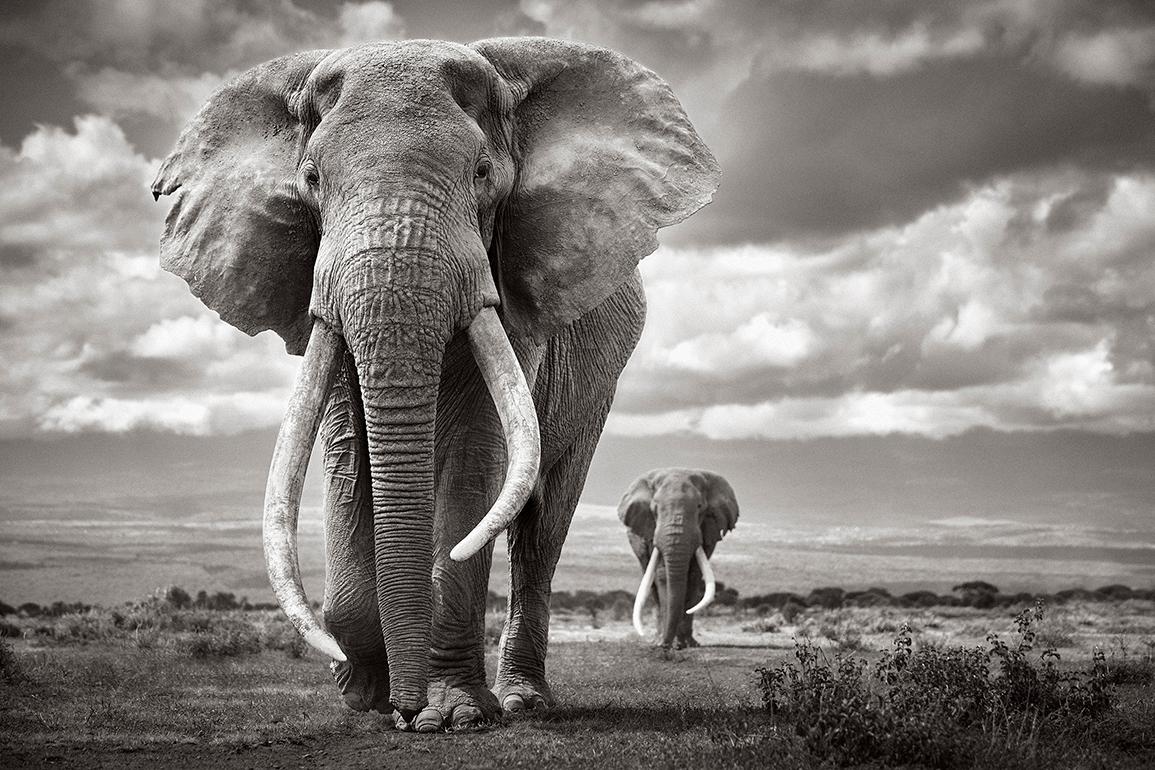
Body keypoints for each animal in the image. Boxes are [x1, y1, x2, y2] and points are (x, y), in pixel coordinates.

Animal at [150, 37, 716, 734]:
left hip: (596, 387)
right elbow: (349, 454)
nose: (406, 707)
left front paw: (451, 716)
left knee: (542, 527)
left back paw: (524, 702)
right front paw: (367, 698)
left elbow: (474, 457)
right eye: (311, 180)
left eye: (481, 173)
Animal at [623, 471, 739, 651]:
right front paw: (667, 643)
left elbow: (693, 575)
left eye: (700, 507)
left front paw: (687, 645)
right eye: (654, 509)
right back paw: (657, 639)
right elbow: (662, 575)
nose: (665, 646)